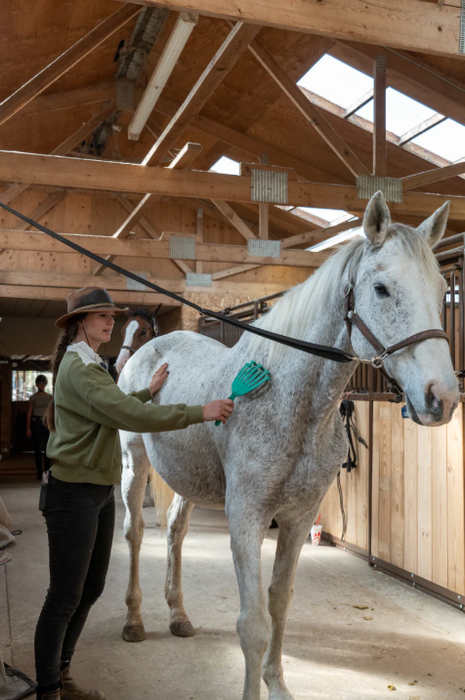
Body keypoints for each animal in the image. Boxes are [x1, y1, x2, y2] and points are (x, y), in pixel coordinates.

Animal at [118, 192, 458, 700]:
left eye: (441, 290)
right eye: (381, 289)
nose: (443, 398)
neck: (288, 403)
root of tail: (151, 348)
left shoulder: (298, 518)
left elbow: (279, 604)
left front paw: (277, 684)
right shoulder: (246, 517)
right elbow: (253, 624)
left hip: (188, 480)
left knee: (175, 531)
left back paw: (178, 615)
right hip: (134, 464)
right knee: (136, 533)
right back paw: (135, 620)